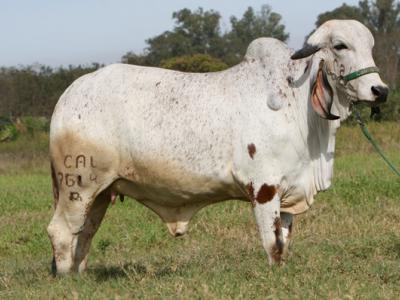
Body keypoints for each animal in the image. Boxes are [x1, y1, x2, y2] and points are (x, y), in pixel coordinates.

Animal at [47, 19, 388, 274]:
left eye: (371, 46)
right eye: (340, 45)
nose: (380, 90)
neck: (296, 102)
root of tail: (68, 96)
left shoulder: (289, 189)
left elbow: (285, 240)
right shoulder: (264, 188)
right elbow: (273, 242)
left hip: (101, 192)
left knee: (84, 232)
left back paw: (80, 274)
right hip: (78, 185)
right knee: (62, 231)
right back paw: (67, 279)